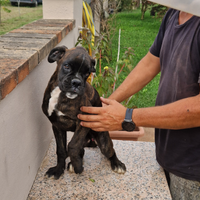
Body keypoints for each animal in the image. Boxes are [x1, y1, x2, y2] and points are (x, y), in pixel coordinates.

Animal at [42, 45, 126, 180]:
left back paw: (117, 164)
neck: (59, 94)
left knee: (109, 151)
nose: (76, 82)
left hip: (103, 141)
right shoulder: (57, 125)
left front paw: (78, 167)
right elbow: (61, 150)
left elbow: (72, 145)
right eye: (67, 66)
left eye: (87, 73)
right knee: (81, 150)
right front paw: (59, 169)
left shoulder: (84, 120)